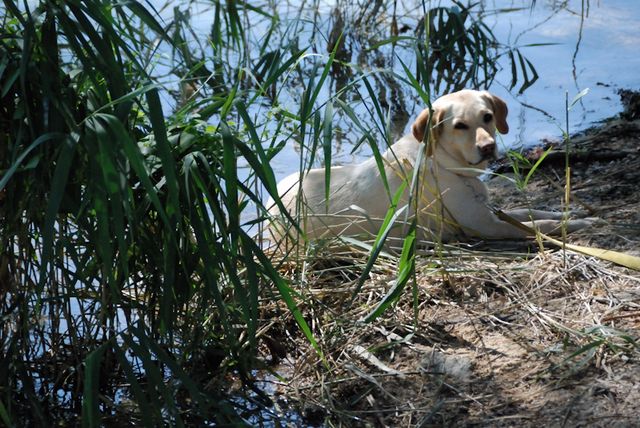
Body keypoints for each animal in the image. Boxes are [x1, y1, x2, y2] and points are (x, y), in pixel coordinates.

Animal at [264, 88, 592, 246]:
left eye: (487, 117)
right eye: (460, 126)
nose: (488, 147)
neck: (445, 163)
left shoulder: (491, 213)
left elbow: (532, 212)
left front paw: (569, 213)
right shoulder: (488, 225)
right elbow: (539, 226)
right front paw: (578, 223)